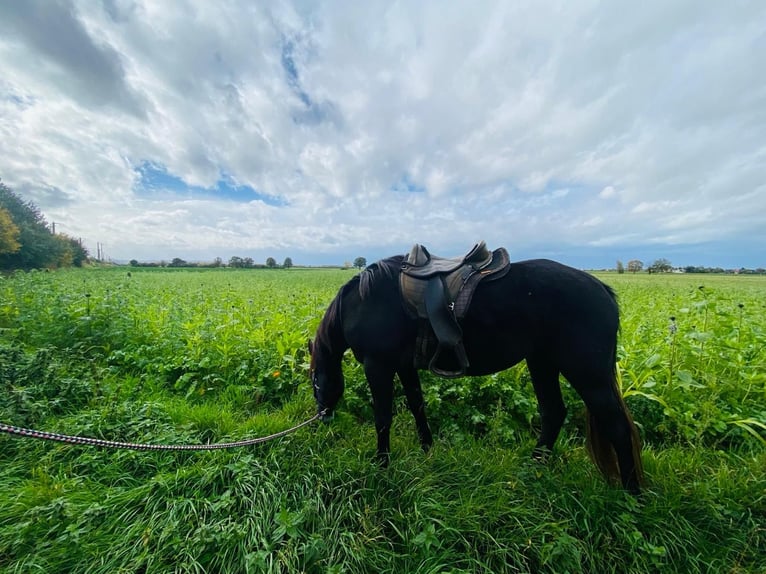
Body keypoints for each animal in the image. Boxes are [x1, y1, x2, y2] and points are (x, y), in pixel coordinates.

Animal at [308, 254, 644, 493]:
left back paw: (632, 495)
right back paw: (533, 469)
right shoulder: (404, 367)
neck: (362, 303)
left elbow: (383, 418)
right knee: (553, 412)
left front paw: (382, 465)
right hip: (542, 362)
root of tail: (603, 290)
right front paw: (427, 450)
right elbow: (418, 407)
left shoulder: (378, 366)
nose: (321, 417)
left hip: (588, 375)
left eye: (314, 380)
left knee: (617, 427)